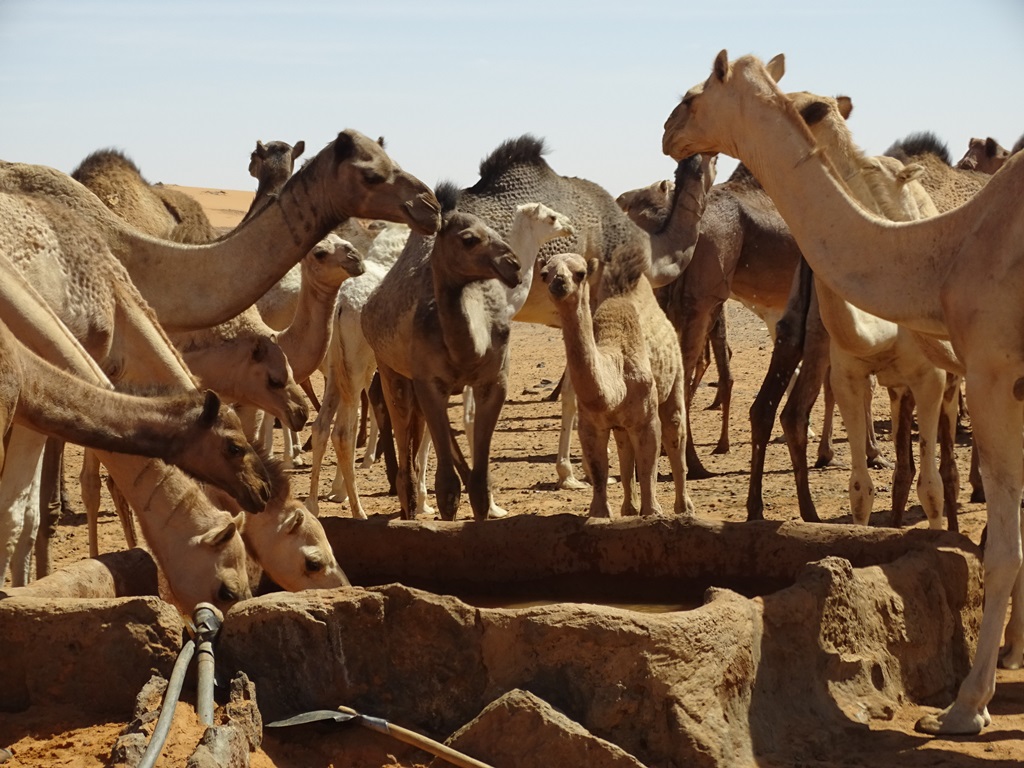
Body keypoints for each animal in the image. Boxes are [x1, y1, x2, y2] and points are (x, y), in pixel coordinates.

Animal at [362, 186, 520, 524]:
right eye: (469, 239)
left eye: (495, 231)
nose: (512, 264)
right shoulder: (429, 382)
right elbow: (447, 488)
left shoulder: (495, 382)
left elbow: (480, 485)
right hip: (391, 370)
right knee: (402, 435)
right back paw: (407, 507)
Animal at [659, 49, 1024, 741]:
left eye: (692, 97)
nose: (667, 133)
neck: (944, 250)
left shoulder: (990, 374)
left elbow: (998, 545)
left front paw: (965, 707)